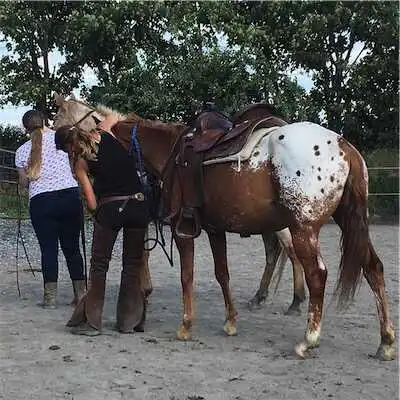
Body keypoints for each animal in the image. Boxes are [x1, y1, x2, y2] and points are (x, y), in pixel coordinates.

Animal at [53, 95, 395, 361]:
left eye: (59, 125)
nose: (82, 190)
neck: (168, 150)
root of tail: (344, 146)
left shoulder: (181, 229)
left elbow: (187, 275)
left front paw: (185, 326)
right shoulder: (215, 229)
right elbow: (222, 274)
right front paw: (230, 322)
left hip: (303, 228)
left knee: (318, 275)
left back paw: (308, 340)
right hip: (350, 223)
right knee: (373, 269)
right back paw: (386, 342)